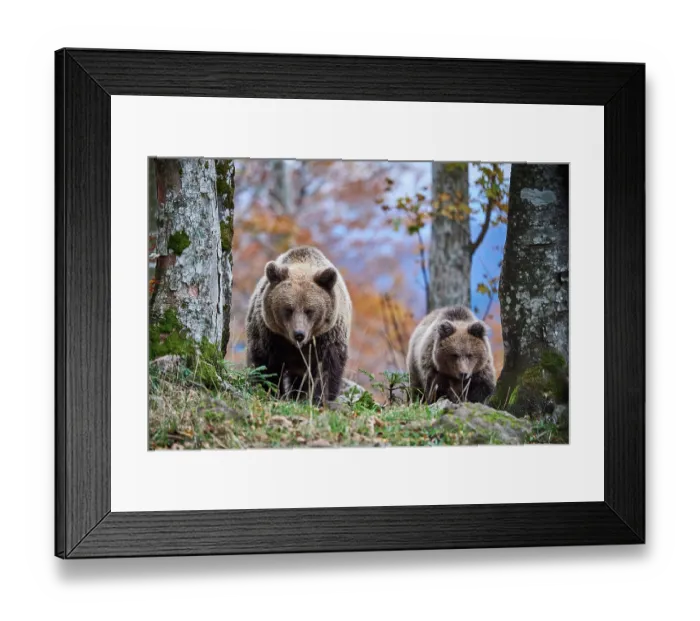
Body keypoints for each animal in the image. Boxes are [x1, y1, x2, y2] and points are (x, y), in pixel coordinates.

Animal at [246, 246, 352, 404]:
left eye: (310, 310)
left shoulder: (328, 336)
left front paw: (320, 398)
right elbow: (266, 366)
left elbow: (327, 368)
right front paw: (272, 392)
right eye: (288, 309)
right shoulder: (269, 334)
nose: (299, 334)